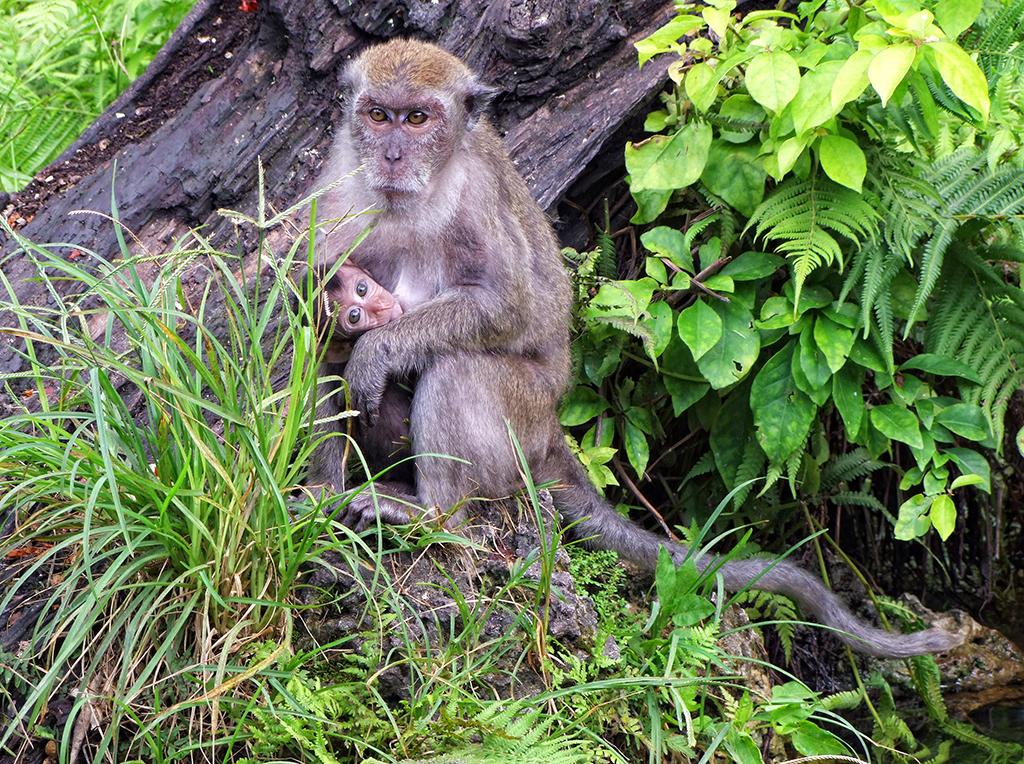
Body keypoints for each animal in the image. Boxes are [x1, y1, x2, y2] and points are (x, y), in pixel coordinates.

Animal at [305, 39, 961, 658]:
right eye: (378, 115)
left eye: (418, 118)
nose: (392, 155)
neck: (413, 198)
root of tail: (552, 430)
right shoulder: (338, 185)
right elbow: (310, 321)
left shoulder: (477, 200)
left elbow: (506, 305)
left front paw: (379, 350)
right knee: (329, 368)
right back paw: (328, 492)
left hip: (521, 422)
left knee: (458, 369)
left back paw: (434, 514)